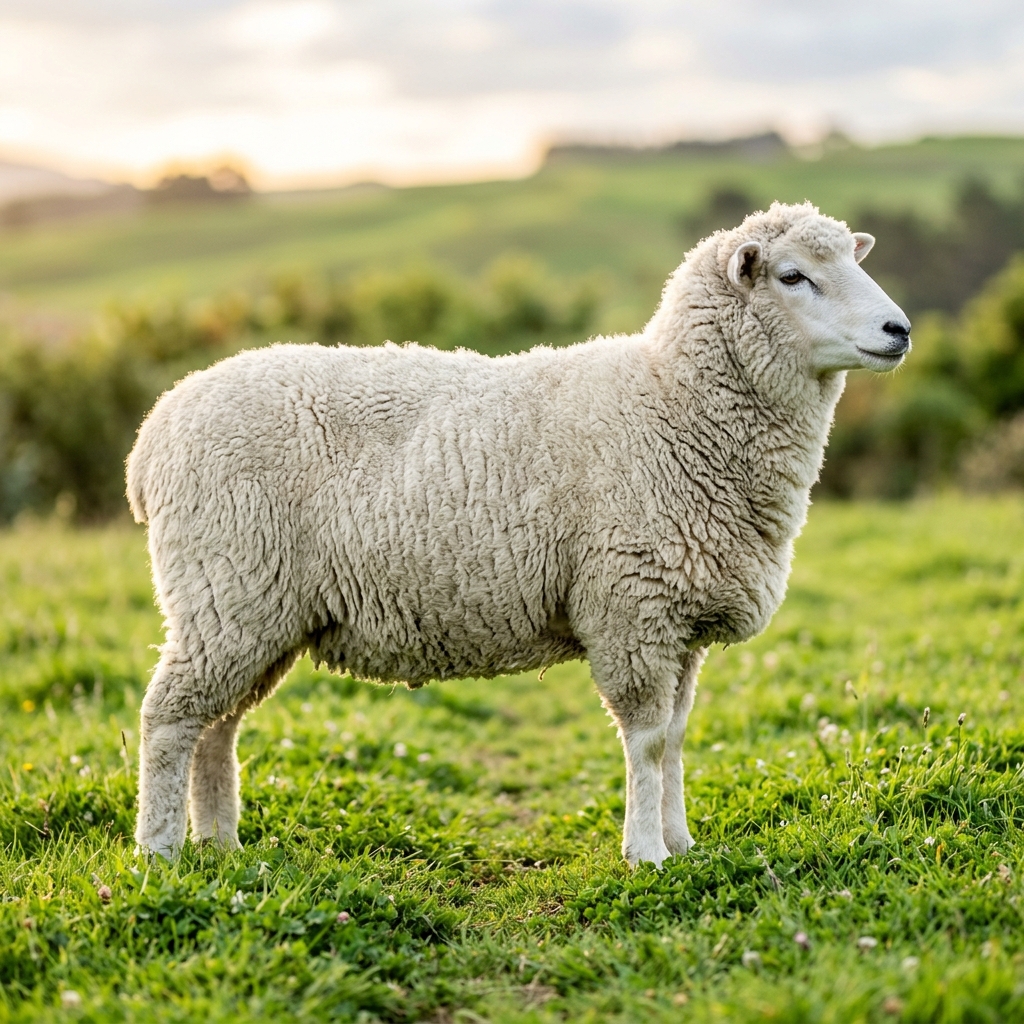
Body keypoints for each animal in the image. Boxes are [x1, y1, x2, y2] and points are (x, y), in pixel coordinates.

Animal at [127, 201, 910, 866]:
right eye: (792, 275)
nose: (899, 331)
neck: (674, 404)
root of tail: (155, 428)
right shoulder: (630, 607)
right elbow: (648, 741)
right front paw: (646, 854)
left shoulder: (680, 620)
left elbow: (678, 737)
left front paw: (682, 843)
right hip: (226, 588)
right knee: (169, 717)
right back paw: (161, 852)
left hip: (255, 612)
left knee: (216, 725)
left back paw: (222, 845)